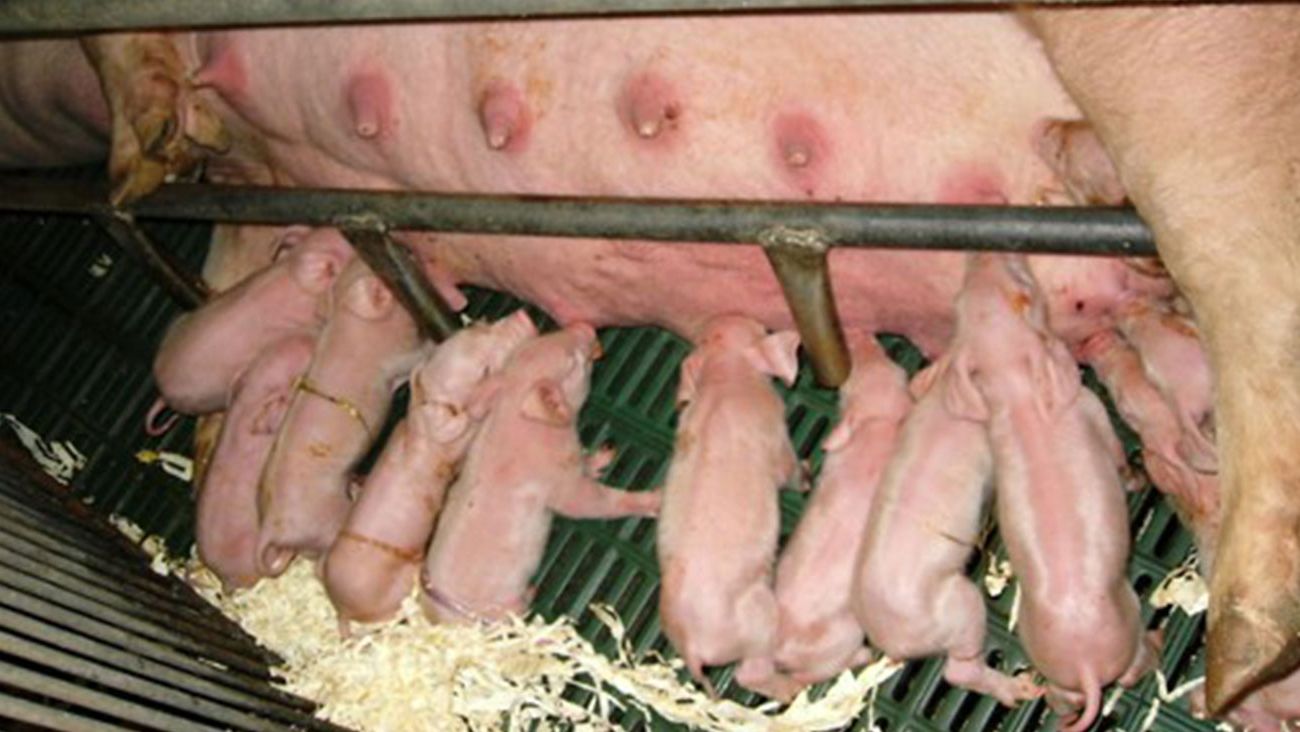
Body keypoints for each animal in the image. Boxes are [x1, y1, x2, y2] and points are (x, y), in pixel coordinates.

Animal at [256, 256, 422, 576]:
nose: (413, 256)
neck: (348, 321)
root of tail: (270, 528)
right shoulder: (395, 360)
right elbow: (420, 356)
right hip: (327, 523)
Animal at [420, 322, 658, 623]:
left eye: (545, 336)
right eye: (571, 362)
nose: (584, 325)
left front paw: (605, 454)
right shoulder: (560, 487)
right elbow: (592, 503)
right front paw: (657, 499)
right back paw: (533, 592)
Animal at [656, 315, 803, 702]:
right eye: (762, 330)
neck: (724, 377)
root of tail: (691, 644)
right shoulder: (777, 437)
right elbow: (789, 471)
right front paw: (808, 475)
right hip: (760, 617)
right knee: (750, 675)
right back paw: (795, 689)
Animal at [772, 334, 910, 687]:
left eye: (891, 364)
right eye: (901, 371)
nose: (860, 335)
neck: (878, 426)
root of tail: (781, 647)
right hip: (845, 634)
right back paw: (865, 655)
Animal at [936, 253, 1154, 730]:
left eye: (959, 302)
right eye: (1025, 293)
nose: (979, 252)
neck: (1016, 390)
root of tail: (1087, 666)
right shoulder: (1091, 410)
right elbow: (1114, 451)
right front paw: (1136, 479)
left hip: (1051, 665)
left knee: (1060, 696)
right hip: (1126, 621)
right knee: (1133, 669)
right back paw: (1158, 641)